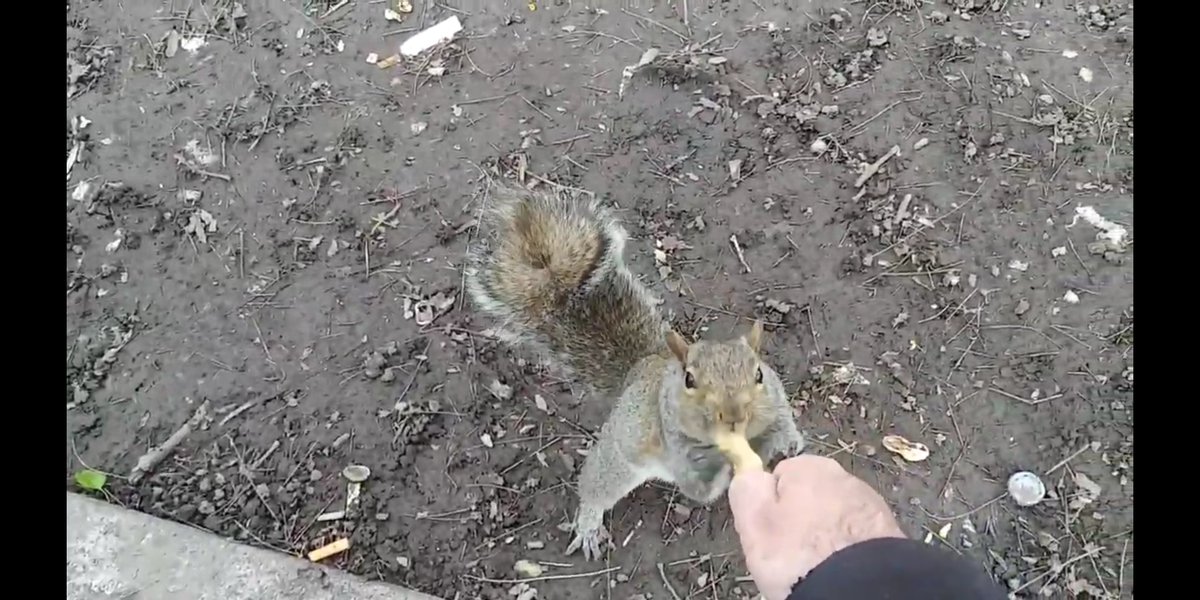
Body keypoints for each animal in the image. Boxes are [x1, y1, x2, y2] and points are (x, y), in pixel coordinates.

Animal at [465, 186, 805, 560]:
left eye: (759, 374)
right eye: (689, 380)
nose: (733, 415)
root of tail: (638, 371)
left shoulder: (775, 395)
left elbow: (782, 417)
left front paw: (789, 441)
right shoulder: (673, 445)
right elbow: (697, 486)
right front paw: (719, 471)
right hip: (617, 462)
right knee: (597, 484)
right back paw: (589, 524)